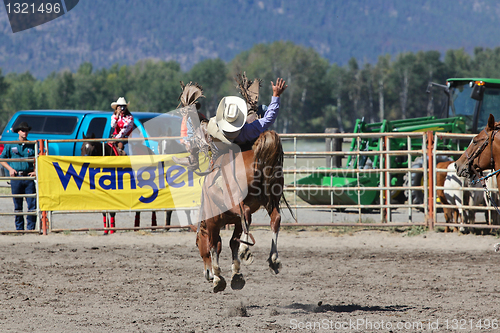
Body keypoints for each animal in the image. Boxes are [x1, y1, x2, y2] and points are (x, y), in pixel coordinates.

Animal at [194, 130, 292, 290]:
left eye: (197, 243)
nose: (207, 274)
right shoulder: (236, 222)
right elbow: (232, 242)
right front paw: (236, 274)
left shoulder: (212, 222)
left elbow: (213, 245)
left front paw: (217, 277)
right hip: (272, 200)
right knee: (275, 220)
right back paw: (273, 259)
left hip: (239, 202)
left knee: (246, 213)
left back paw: (245, 251)